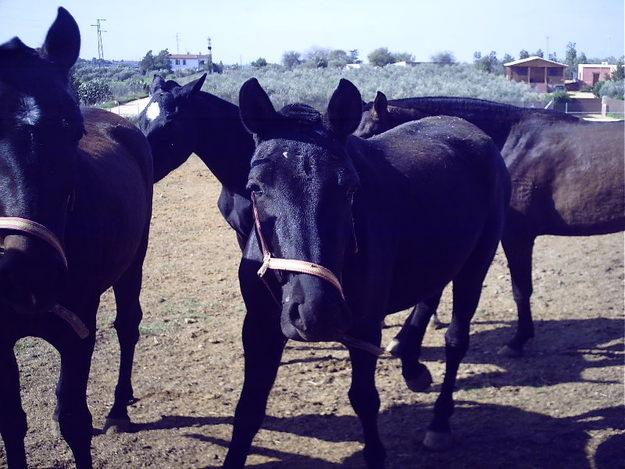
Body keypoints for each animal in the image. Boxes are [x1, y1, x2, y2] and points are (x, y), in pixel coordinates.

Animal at [1, 8, 153, 468]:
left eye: (72, 128)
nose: (29, 271)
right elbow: (11, 422)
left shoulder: (77, 333)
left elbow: (74, 420)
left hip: (133, 266)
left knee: (128, 326)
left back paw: (119, 409)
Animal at [224, 78, 512, 466]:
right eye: (255, 188)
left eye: (349, 187)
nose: (315, 311)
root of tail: (473, 132)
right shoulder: (259, 327)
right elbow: (248, 411)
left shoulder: (364, 326)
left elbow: (364, 399)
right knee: (429, 297)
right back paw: (411, 363)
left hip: (475, 265)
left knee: (455, 340)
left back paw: (439, 421)